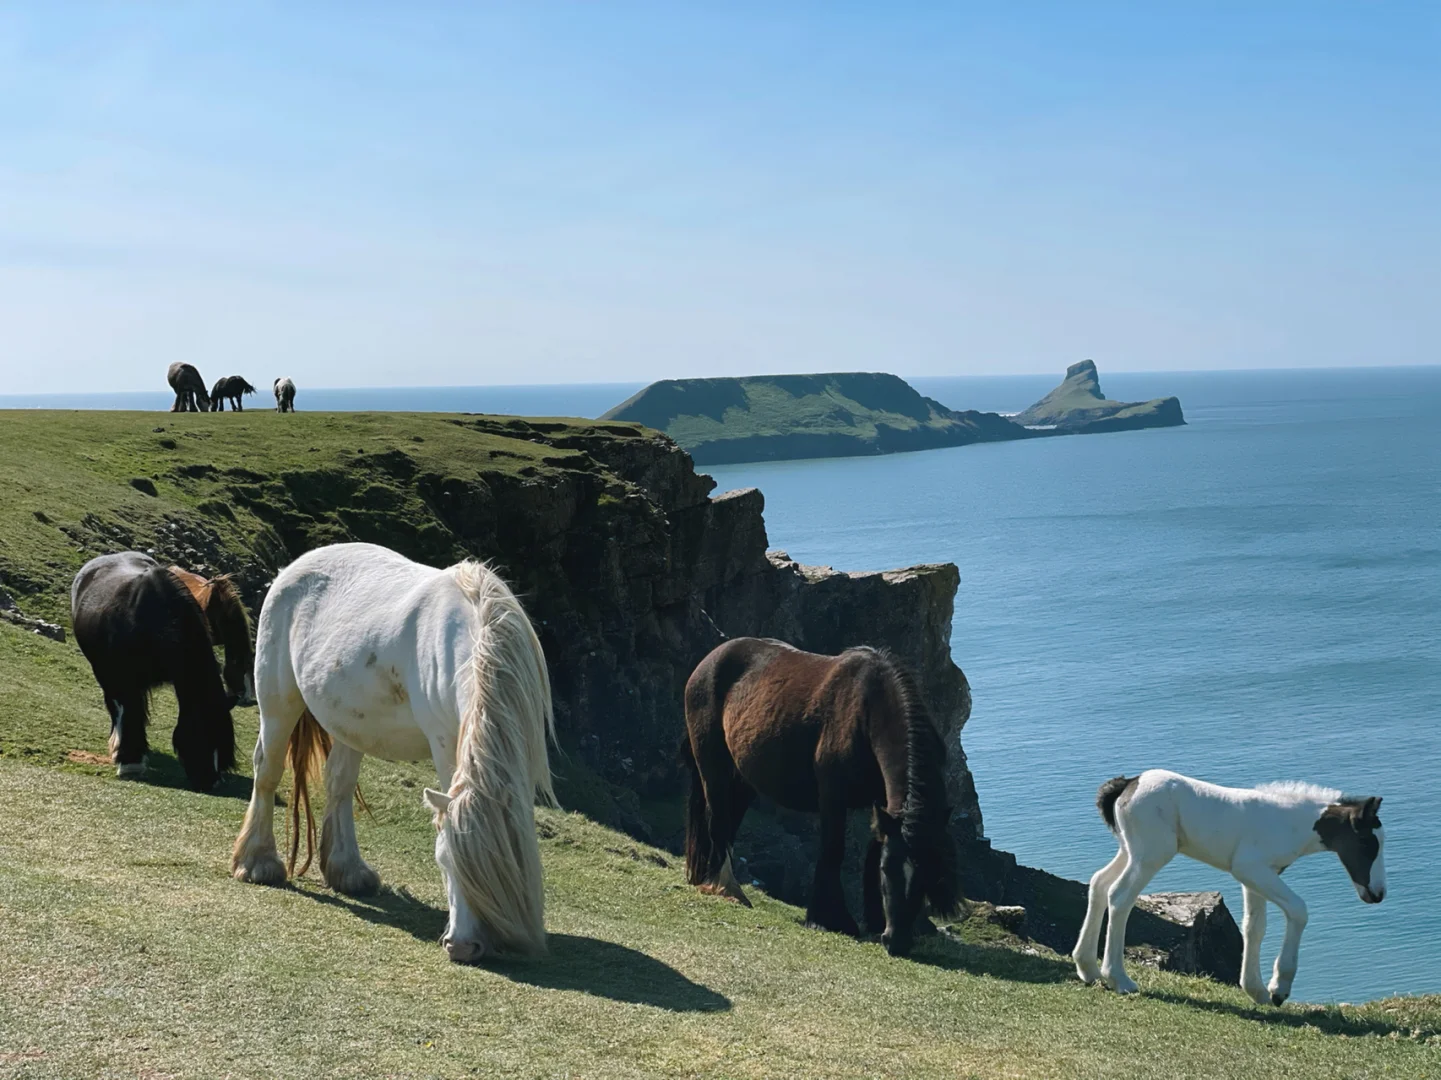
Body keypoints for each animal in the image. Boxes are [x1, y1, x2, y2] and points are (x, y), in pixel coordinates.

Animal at [70, 550, 237, 790]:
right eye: (203, 732)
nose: (211, 782)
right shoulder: (123, 679)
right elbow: (128, 712)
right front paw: (130, 763)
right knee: (117, 708)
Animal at [233, 539, 553, 963]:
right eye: (442, 860)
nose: (461, 946)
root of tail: (294, 568)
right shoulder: (445, 741)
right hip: (278, 702)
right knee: (267, 770)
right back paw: (258, 863)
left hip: (348, 723)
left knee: (339, 784)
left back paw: (348, 871)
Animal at [683, 637, 956, 957]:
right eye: (887, 871)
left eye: (928, 876)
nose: (897, 941)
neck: (866, 713)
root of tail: (710, 660)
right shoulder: (833, 795)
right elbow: (833, 850)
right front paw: (827, 919)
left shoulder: (881, 805)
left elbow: (871, 850)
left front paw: (874, 920)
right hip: (712, 766)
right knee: (717, 820)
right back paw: (727, 889)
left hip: (743, 777)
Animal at [1072, 767, 1383, 1003]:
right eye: (1367, 843)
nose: (1377, 894)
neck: (1290, 822)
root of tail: (1129, 783)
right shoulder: (1251, 868)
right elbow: (1298, 910)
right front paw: (1278, 989)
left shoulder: (1257, 876)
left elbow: (1254, 927)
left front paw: (1257, 991)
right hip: (1152, 853)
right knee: (1120, 896)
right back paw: (1119, 979)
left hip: (1130, 850)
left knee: (1099, 884)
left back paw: (1088, 969)